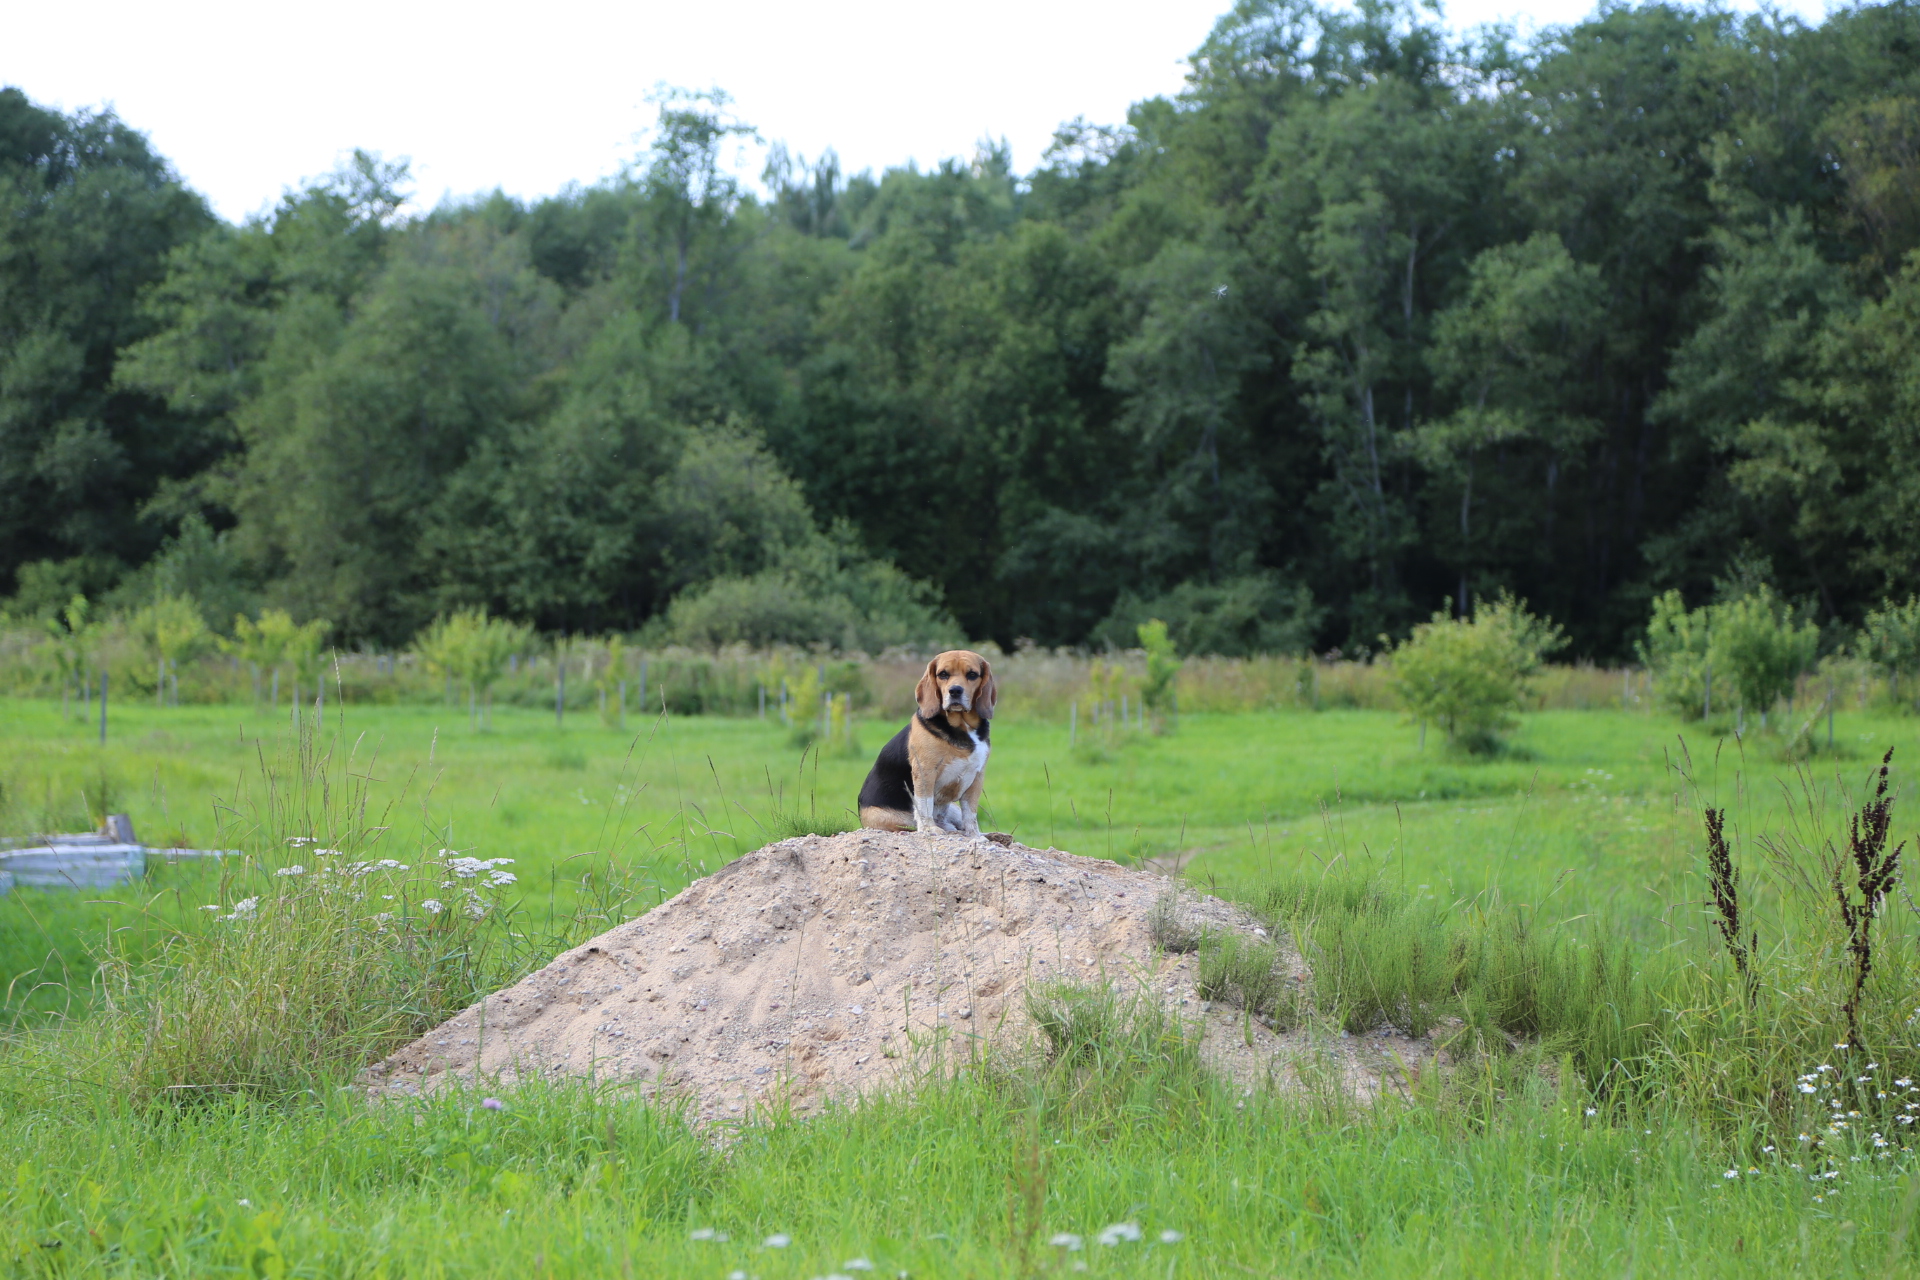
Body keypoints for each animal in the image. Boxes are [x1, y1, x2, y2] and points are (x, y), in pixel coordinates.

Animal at [864, 652, 998, 840]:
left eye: (972, 674)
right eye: (943, 674)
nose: (955, 690)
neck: (962, 727)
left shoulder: (977, 776)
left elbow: (970, 813)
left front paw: (975, 835)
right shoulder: (925, 772)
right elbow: (925, 805)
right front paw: (929, 829)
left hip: (954, 810)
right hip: (892, 819)